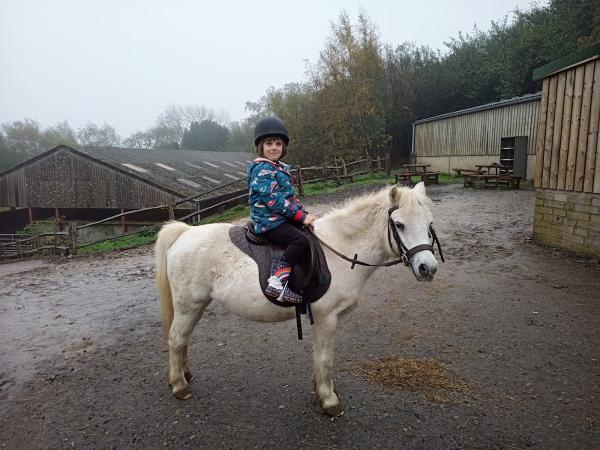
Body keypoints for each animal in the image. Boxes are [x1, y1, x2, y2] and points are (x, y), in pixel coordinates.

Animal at [156, 182, 440, 414]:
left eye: (429, 224)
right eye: (399, 225)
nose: (428, 268)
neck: (341, 249)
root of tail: (184, 233)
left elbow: (318, 356)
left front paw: (321, 391)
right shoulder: (327, 317)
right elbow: (325, 358)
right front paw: (329, 401)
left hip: (196, 306)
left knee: (183, 339)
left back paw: (185, 374)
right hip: (188, 305)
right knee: (176, 339)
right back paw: (179, 385)